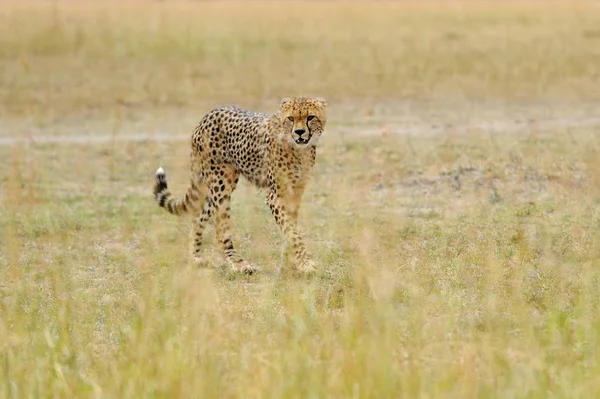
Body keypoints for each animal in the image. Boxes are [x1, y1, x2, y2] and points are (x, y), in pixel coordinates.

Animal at [151, 97, 328, 276]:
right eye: (291, 118)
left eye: (310, 117)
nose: (299, 132)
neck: (299, 149)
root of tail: (209, 115)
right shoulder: (275, 196)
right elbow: (292, 232)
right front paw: (305, 263)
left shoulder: (295, 192)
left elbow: (291, 228)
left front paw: (291, 262)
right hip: (221, 183)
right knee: (220, 232)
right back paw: (239, 264)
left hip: (217, 186)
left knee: (198, 217)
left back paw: (196, 257)